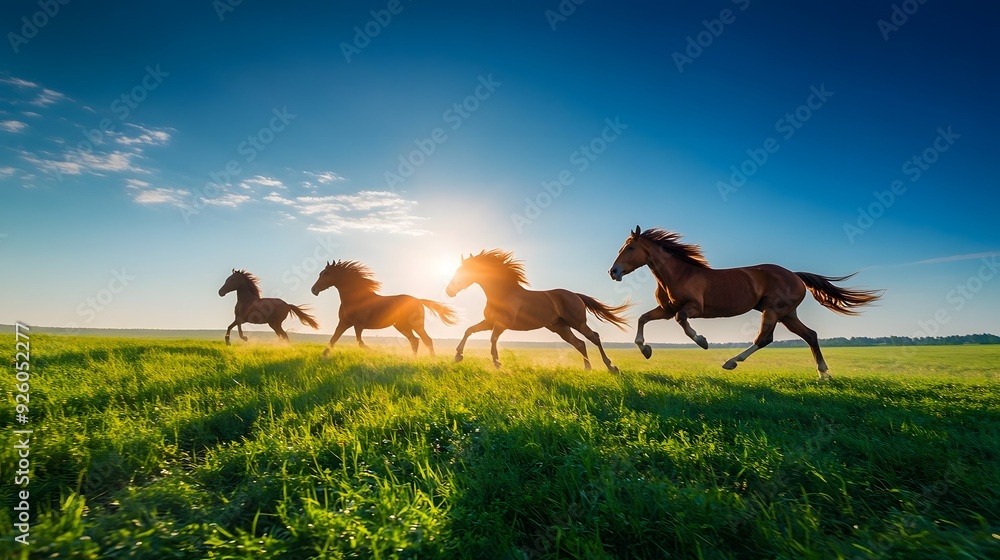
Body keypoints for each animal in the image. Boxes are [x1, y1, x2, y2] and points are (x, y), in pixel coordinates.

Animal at [311, 260, 459, 357]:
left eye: (327, 273)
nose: (313, 289)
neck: (356, 299)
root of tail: (418, 300)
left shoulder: (358, 325)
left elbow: (360, 342)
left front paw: (374, 352)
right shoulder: (344, 323)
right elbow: (333, 340)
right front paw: (324, 355)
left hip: (416, 325)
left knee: (426, 340)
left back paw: (432, 359)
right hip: (402, 326)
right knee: (414, 340)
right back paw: (413, 359)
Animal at [445, 250, 631, 372]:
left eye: (464, 271)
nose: (449, 291)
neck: (503, 293)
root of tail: (575, 295)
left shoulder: (502, 324)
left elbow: (492, 339)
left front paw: (497, 362)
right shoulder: (490, 322)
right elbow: (469, 330)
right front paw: (458, 356)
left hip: (577, 323)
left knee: (594, 338)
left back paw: (611, 367)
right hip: (560, 328)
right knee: (580, 343)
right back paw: (587, 368)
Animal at [608, 227, 882, 379]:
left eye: (630, 248)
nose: (613, 272)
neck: (679, 273)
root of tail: (795, 275)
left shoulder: (693, 308)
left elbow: (682, 321)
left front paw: (703, 341)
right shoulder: (666, 309)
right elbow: (643, 318)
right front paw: (645, 350)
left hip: (774, 310)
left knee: (765, 338)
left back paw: (731, 362)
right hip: (787, 314)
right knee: (810, 335)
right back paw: (823, 373)